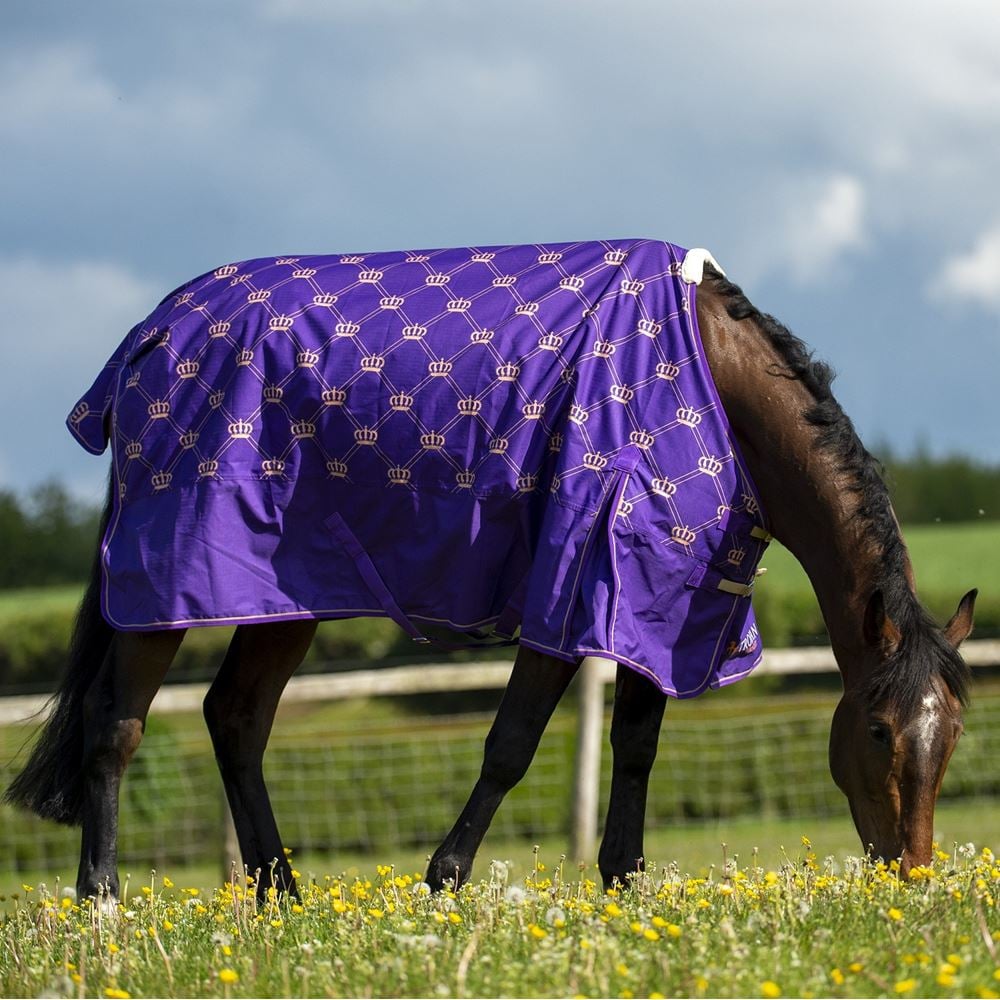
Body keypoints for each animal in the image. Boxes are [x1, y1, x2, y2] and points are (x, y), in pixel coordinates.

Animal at [3, 240, 972, 900]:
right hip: (166, 580)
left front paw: (624, 885)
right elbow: (511, 745)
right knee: (116, 724)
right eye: (878, 730)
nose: (910, 876)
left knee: (234, 719)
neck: (708, 383)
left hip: (285, 598)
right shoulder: (572, 587)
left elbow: (636, 748)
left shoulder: (658, 608)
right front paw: (446, 879)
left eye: (954, 734)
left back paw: (284, 896)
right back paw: (103, 901)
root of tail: (154, 334)